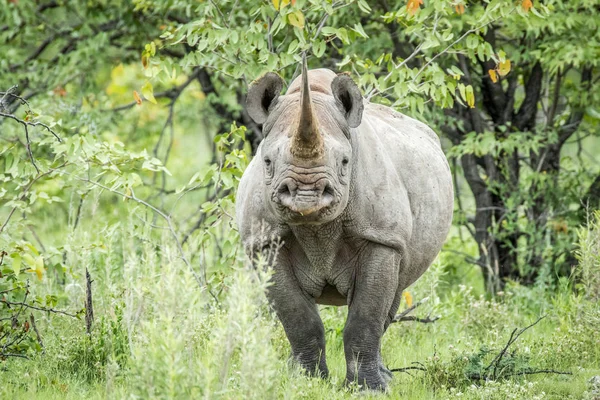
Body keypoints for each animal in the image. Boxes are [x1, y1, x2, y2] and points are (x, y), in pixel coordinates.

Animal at [237, 57, 452, 390]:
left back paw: (386, 379)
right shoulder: (264, 242)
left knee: (392, 296)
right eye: (267, 162)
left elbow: (366, 316)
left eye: (345, 163)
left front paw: (369, 390)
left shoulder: (381, 236)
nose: (306, 195)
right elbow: (298, 318)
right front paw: (305, 383)